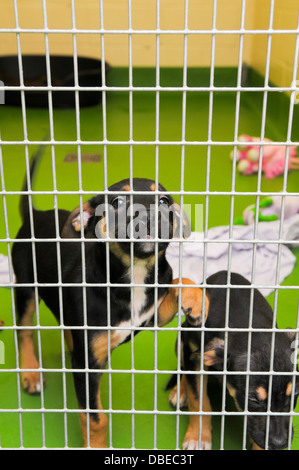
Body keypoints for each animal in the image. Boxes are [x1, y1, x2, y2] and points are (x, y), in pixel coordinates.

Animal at [11, 154, 209, 448]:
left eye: (163, 201)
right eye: (117, 202)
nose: (149, 216)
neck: (133, 273)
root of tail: (35, 215)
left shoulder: (152, 316)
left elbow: (180, 280)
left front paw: (196, 300)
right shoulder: (87, 368)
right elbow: (95, 419)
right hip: (25, 288)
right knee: (23, 331)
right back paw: (31, 372)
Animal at [169, 272, 299, 452]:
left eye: (294, 394)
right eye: (253, 400)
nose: (279, 444)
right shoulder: (191, 350)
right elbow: (198, 400)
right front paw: (198, 437)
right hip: (181, 340)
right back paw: (180, 391)